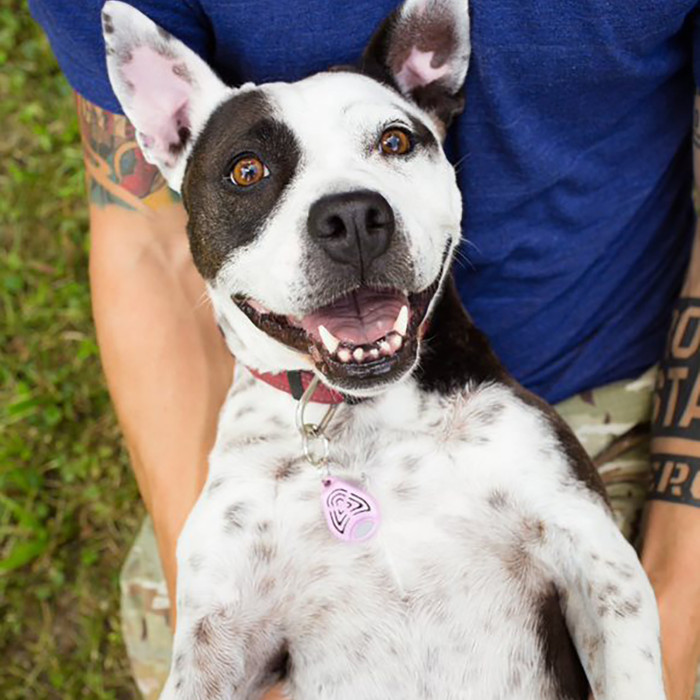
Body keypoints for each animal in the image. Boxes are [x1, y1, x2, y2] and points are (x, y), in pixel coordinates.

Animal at [102, 2, 668, 696]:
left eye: (396, 141)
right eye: (247, 171)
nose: (350, 216)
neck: (360, 423)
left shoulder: (596, 560)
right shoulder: (217, 637)